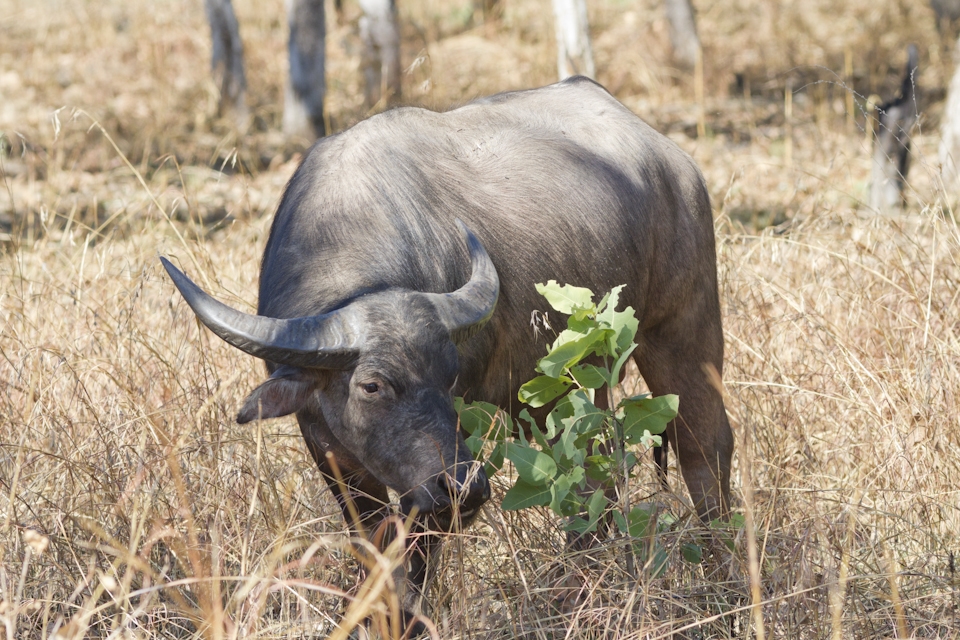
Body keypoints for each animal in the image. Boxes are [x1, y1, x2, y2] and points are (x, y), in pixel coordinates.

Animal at [161, 76, 734, 632]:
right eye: (372, 385)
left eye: (451, 377)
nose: (465, 488)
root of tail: (673, 162)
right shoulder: (328, 443)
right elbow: (375, 537)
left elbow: (417, 545)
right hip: (566, 383)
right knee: (592, 469)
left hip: (682, 328)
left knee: (703, 447)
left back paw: (720, 574)